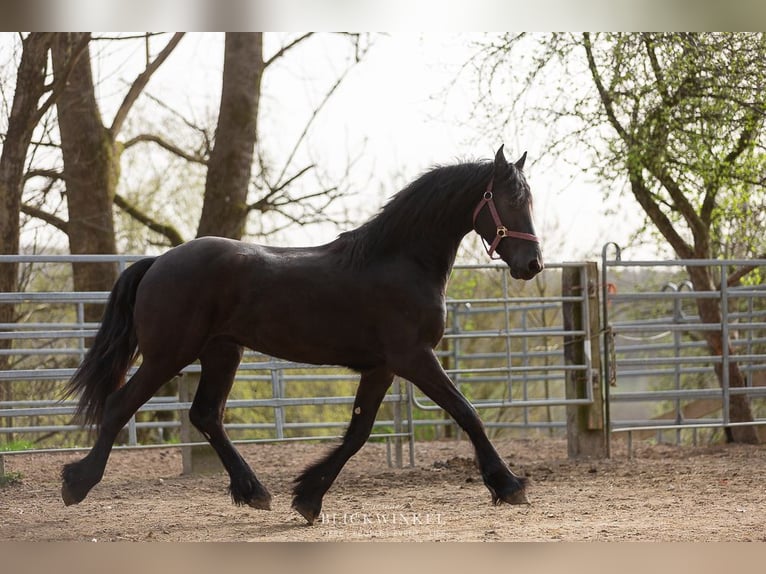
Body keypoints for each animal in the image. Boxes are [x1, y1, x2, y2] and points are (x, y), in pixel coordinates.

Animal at [61, 145, 543, 525]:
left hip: (222, 353)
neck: (398, 260)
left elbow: (358, 433)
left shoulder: (382, 368)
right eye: (508, 199)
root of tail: (157, 262)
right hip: (169, 354)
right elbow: (467, 413)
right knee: (121, 404)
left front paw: (308, 497)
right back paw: (76, 483)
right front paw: (509, 485)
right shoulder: (414, 358)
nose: (533, 264)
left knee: (205, 415)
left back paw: (254, 492)